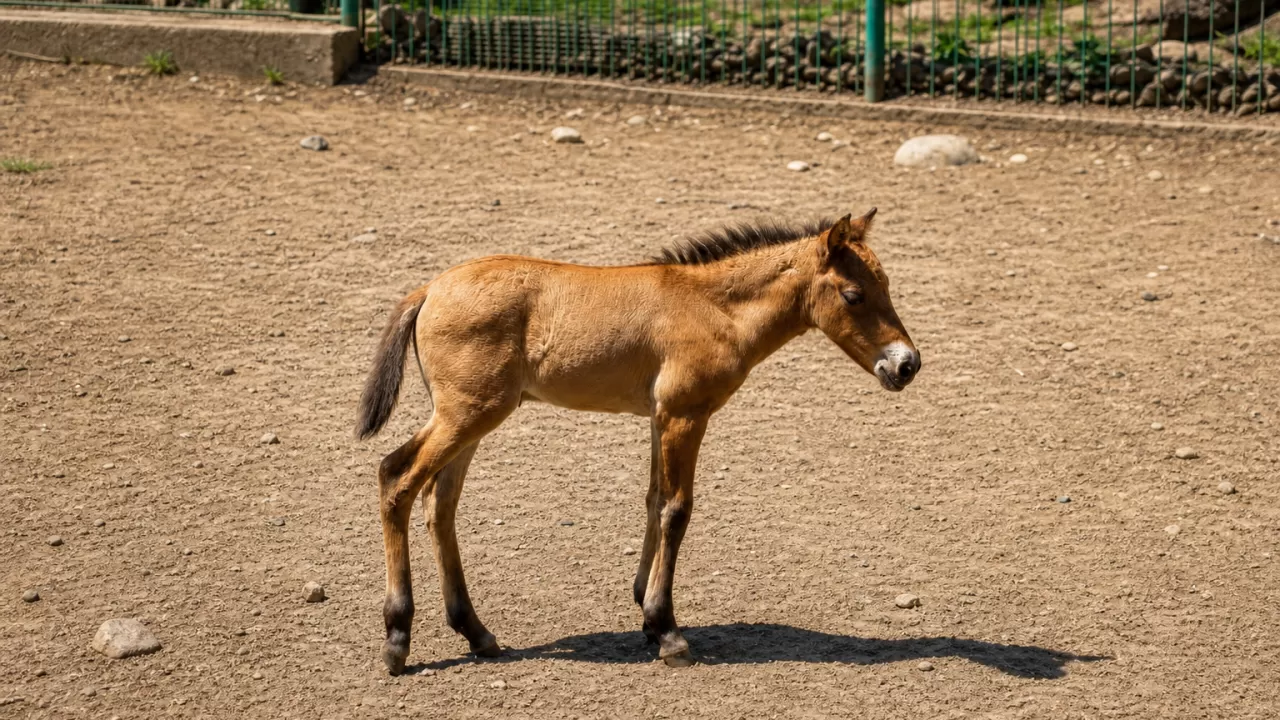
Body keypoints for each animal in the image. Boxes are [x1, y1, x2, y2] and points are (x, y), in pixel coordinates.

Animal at [356, 208, 920, 674]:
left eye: (888, 284)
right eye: (853, 295)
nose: (906, 364)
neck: (713, 307)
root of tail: (429, 289)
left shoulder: (658, 417)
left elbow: (652, 500)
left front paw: (645, 613)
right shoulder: (684, 415)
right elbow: (676, 509)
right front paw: (667, 630)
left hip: (469, 418)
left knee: (439, 502)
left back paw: (477, 633)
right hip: (466, 414)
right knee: (396, 478)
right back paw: (397, 640)